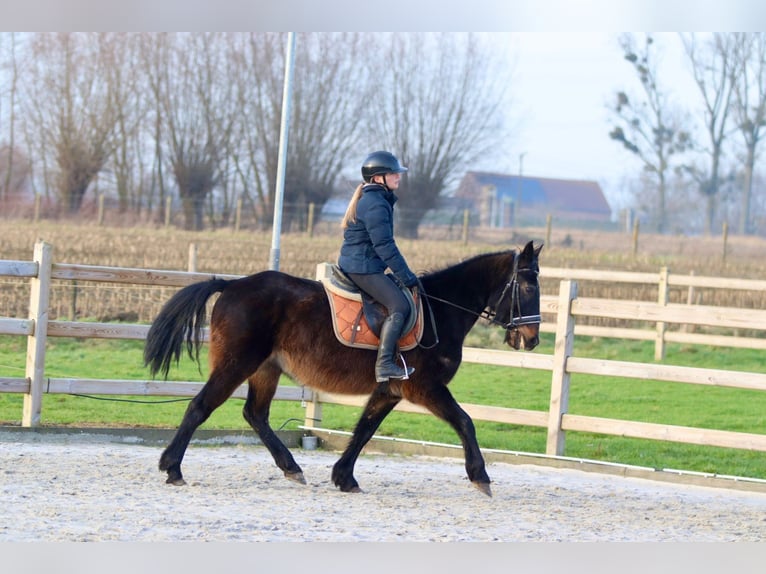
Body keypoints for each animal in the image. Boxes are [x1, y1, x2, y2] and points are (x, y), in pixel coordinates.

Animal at [142, 241, 540, 498]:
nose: (532, 339)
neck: (440, 311)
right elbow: (465, 422)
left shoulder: (390, 388)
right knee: (200, 407)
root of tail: (233, 284)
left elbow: (365, 428)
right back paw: (173, 468)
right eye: (526, 286)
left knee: (255, 414)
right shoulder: (425, 387)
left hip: (266, 369)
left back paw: (291, 468)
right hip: (236, 363)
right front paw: (480, 476)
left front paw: (344, 477)